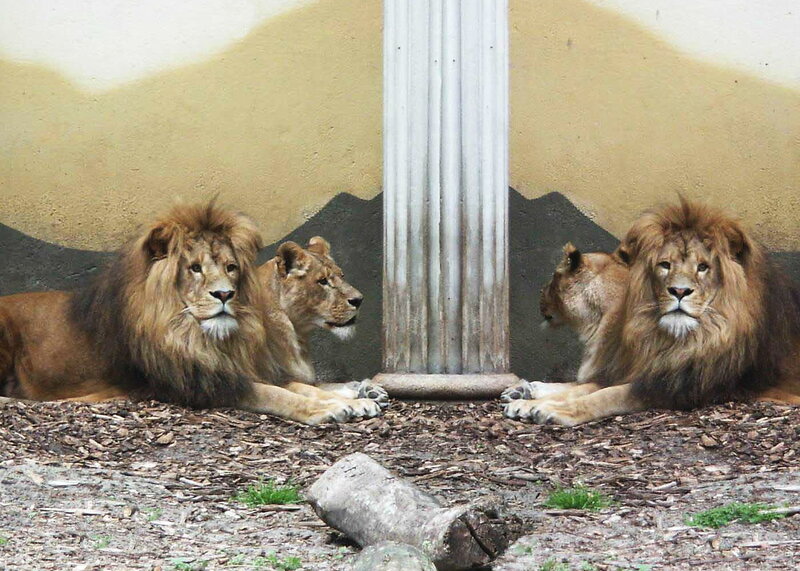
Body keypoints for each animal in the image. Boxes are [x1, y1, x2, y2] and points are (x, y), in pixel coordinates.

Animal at [0, 202, 380, 424]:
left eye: (230, 268)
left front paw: (362, 393)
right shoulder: (207, 383)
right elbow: (282, 394)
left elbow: (311, 384)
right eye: (322, 282)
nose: (359, 300)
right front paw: (333, 408)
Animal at [505, 200, 800, 425]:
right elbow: (578, 386)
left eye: (703, 267)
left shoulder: (674, 386)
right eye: (665, 265)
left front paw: (549, 408)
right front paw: (523, 393)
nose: (679, 291)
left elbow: (605, 395)